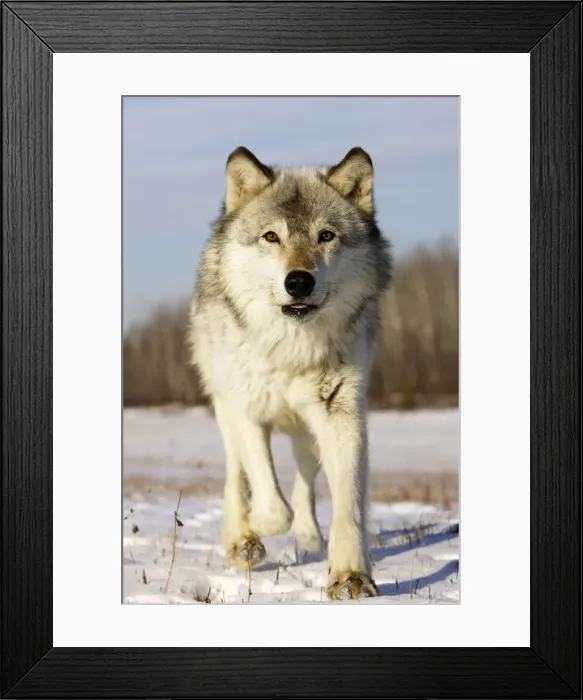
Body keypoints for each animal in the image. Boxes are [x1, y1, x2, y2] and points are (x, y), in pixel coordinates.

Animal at [188, 146, 391, 600]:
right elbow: (270, 503)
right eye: (271, 237)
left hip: (306, 434)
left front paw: (349, 575)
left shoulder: (341, 414)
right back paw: (240, 536)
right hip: (224, 406)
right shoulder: (247, 411)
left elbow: (346, 503)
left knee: (304, 483)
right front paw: (251, 532)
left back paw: (310, 537)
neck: (290, 351)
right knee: (237, 475)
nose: (298, 281)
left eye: (326, 236)